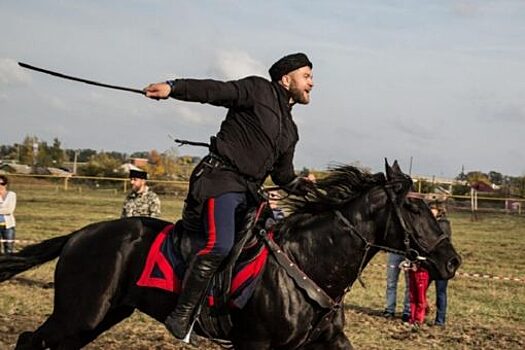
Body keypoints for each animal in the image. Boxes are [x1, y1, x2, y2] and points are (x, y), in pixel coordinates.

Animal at [0, 161, 458, 348]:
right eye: (414, 207)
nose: (452, 261)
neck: (309, 261)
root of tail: (79, 236)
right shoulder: (254, 344)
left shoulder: (327, 340)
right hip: (80, 314)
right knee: (28, 340)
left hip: (99, 317)